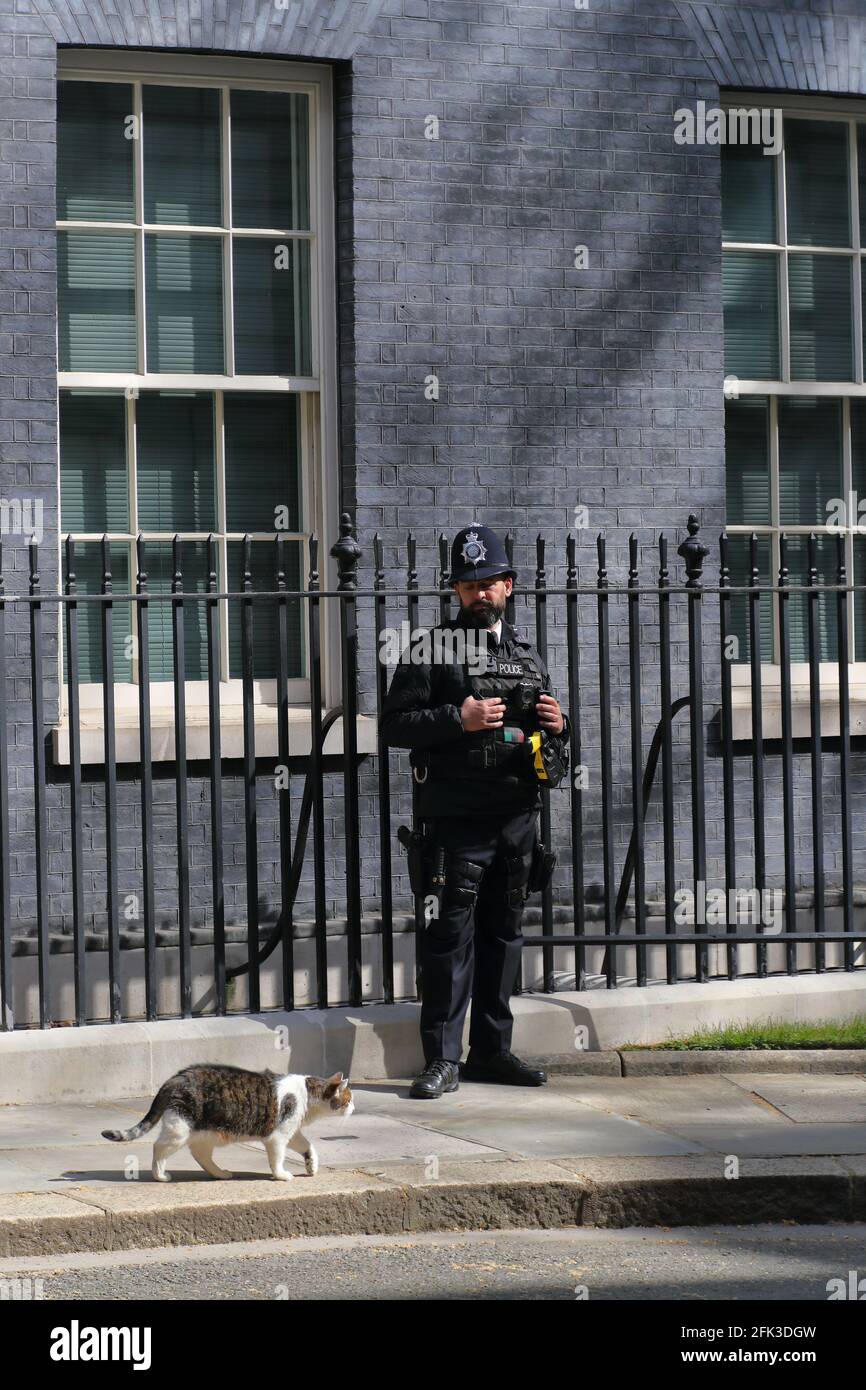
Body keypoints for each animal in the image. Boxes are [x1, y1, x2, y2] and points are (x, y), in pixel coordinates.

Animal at [102, 1061, 355, 1184]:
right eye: (349, 1098)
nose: (354, 1108)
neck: (306, 1093)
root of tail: (176, 1077)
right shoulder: (277, 1137)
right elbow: (277, 1159)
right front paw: (281, 1175)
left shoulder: (291, 1132)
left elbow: (308, 1147)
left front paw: (311, 1166)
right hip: (179, 1129)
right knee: (159, 1148)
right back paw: (160, 1175)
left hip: (205, 1134)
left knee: (200, 1154)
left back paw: (220, 1174)